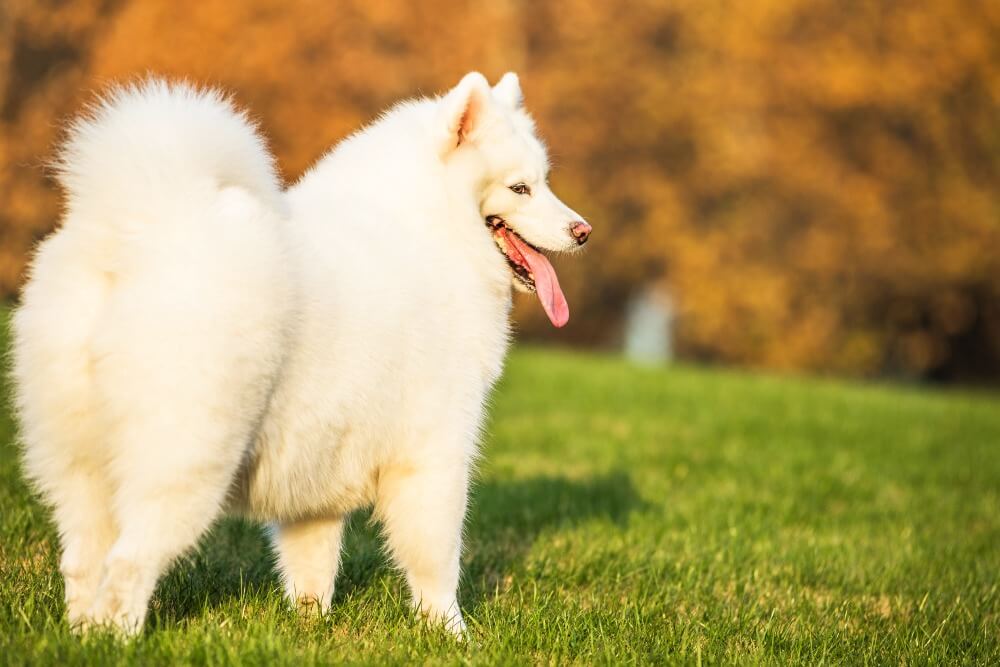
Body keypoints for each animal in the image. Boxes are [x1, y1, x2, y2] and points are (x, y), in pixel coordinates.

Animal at [11, 73, 588, 636]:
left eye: (545, 181)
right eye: (520, 188)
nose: (583, 231)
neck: (431, 231)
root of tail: (136, 225)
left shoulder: (317, 476)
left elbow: (312, 565)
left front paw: (310, 626)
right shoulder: (434, 455)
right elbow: (436, 562)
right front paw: (451, 635)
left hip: (80, 465)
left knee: (83, 562)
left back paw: (83, 637)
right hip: (184, 459)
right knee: (129, 564)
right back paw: (120, 640)